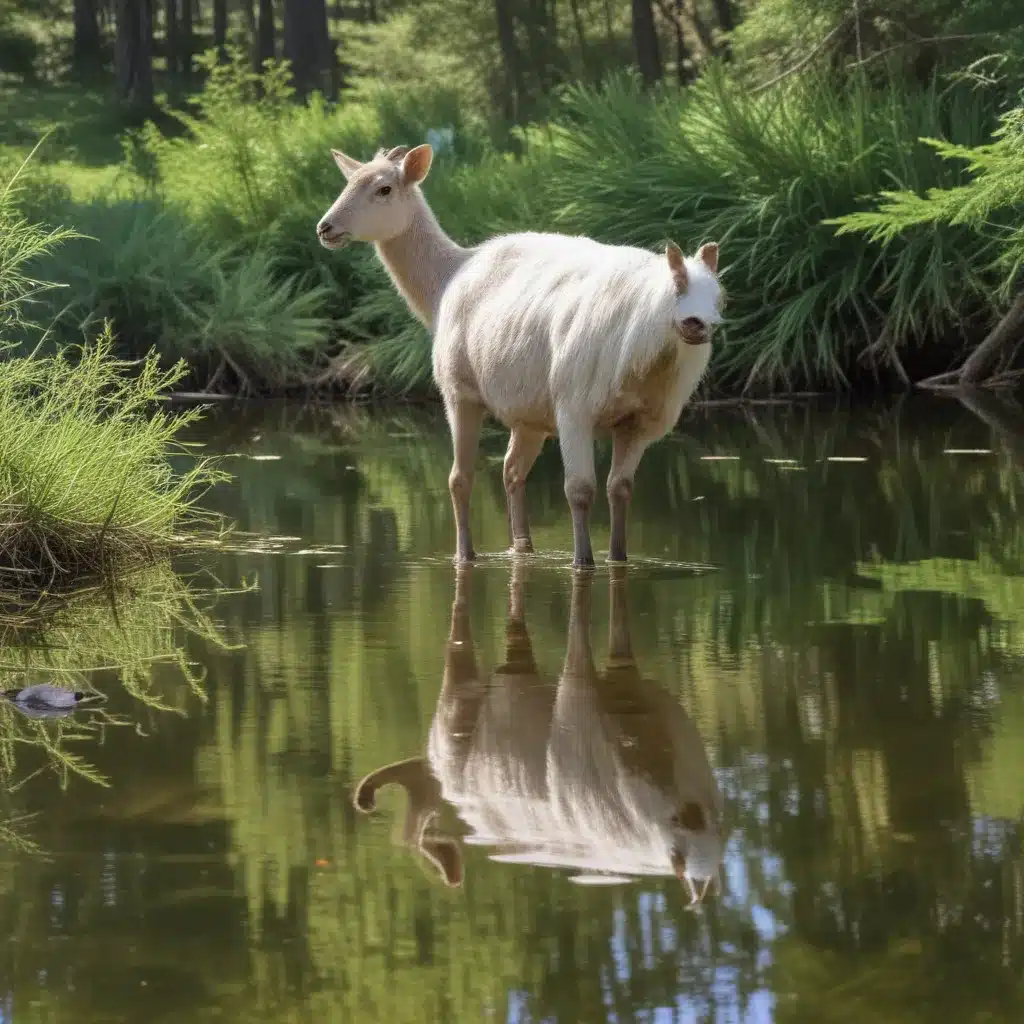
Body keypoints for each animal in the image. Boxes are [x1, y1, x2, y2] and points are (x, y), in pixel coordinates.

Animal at [315, 142, 724, 569]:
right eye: (348, 183)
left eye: (384, 189)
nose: (325, 228)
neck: (441, 285)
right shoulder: (572, 409)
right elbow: (582, 488)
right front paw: (584, 559)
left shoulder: (617, 417)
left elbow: (608, 488)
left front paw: (602, 559)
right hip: (520, 402)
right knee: (500, 472)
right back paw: (505, 550)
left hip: (522, 402)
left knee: (497, 474)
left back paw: (501, 550)